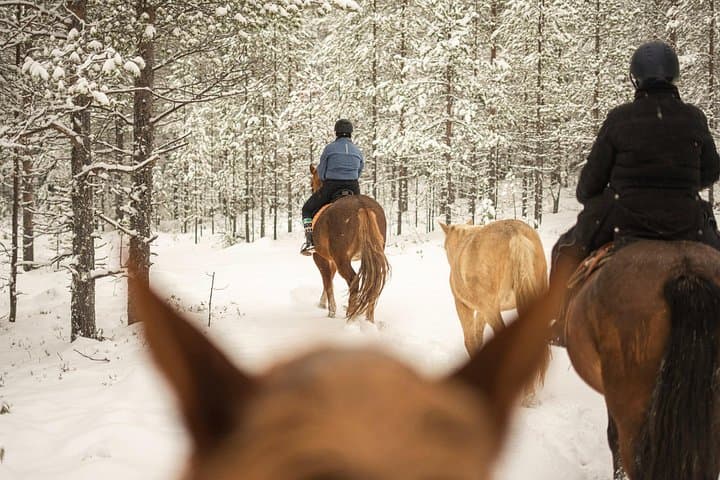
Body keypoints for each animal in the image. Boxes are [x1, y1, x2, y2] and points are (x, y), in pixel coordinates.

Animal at [309, 164, 390, 323]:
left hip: (342, 260)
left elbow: (327, 281)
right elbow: (329, 279)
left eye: (311, 184)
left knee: (354, 282)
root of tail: (362, 206)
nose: (313, 189)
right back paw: (369, 320)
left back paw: (350, 317)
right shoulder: (331, 259)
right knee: (374, 284)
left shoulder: (320, 257)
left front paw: (330, 311)